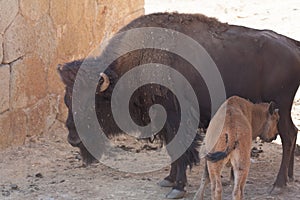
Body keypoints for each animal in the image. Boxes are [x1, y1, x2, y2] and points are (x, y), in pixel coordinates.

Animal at [58, 12, 300, 198]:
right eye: (67, 100)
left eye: (93, 103)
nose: (72, 139)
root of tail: (292, 45)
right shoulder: (164, 122)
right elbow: (171, 150)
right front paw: (168, 179)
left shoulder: (176, 117)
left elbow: (180, 149)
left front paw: (177, 188)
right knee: (293, 132)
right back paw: (288, 177)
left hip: (279, 106)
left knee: (288, 135)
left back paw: (278, 185)